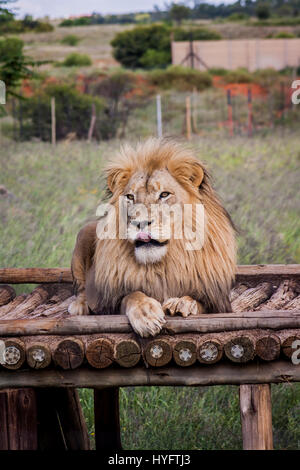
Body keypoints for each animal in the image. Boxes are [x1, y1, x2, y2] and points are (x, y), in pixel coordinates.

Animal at [68, 138, 237, 336]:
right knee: (81, 289)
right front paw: (146, 314)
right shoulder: (111, 303)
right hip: (84, 233)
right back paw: (80, 306)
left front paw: (181, 303)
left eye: (164, 194)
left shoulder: (217, 302)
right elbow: (132, 295)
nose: (140, 223)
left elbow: (197, 300)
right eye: (130, 197)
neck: (161, 266)